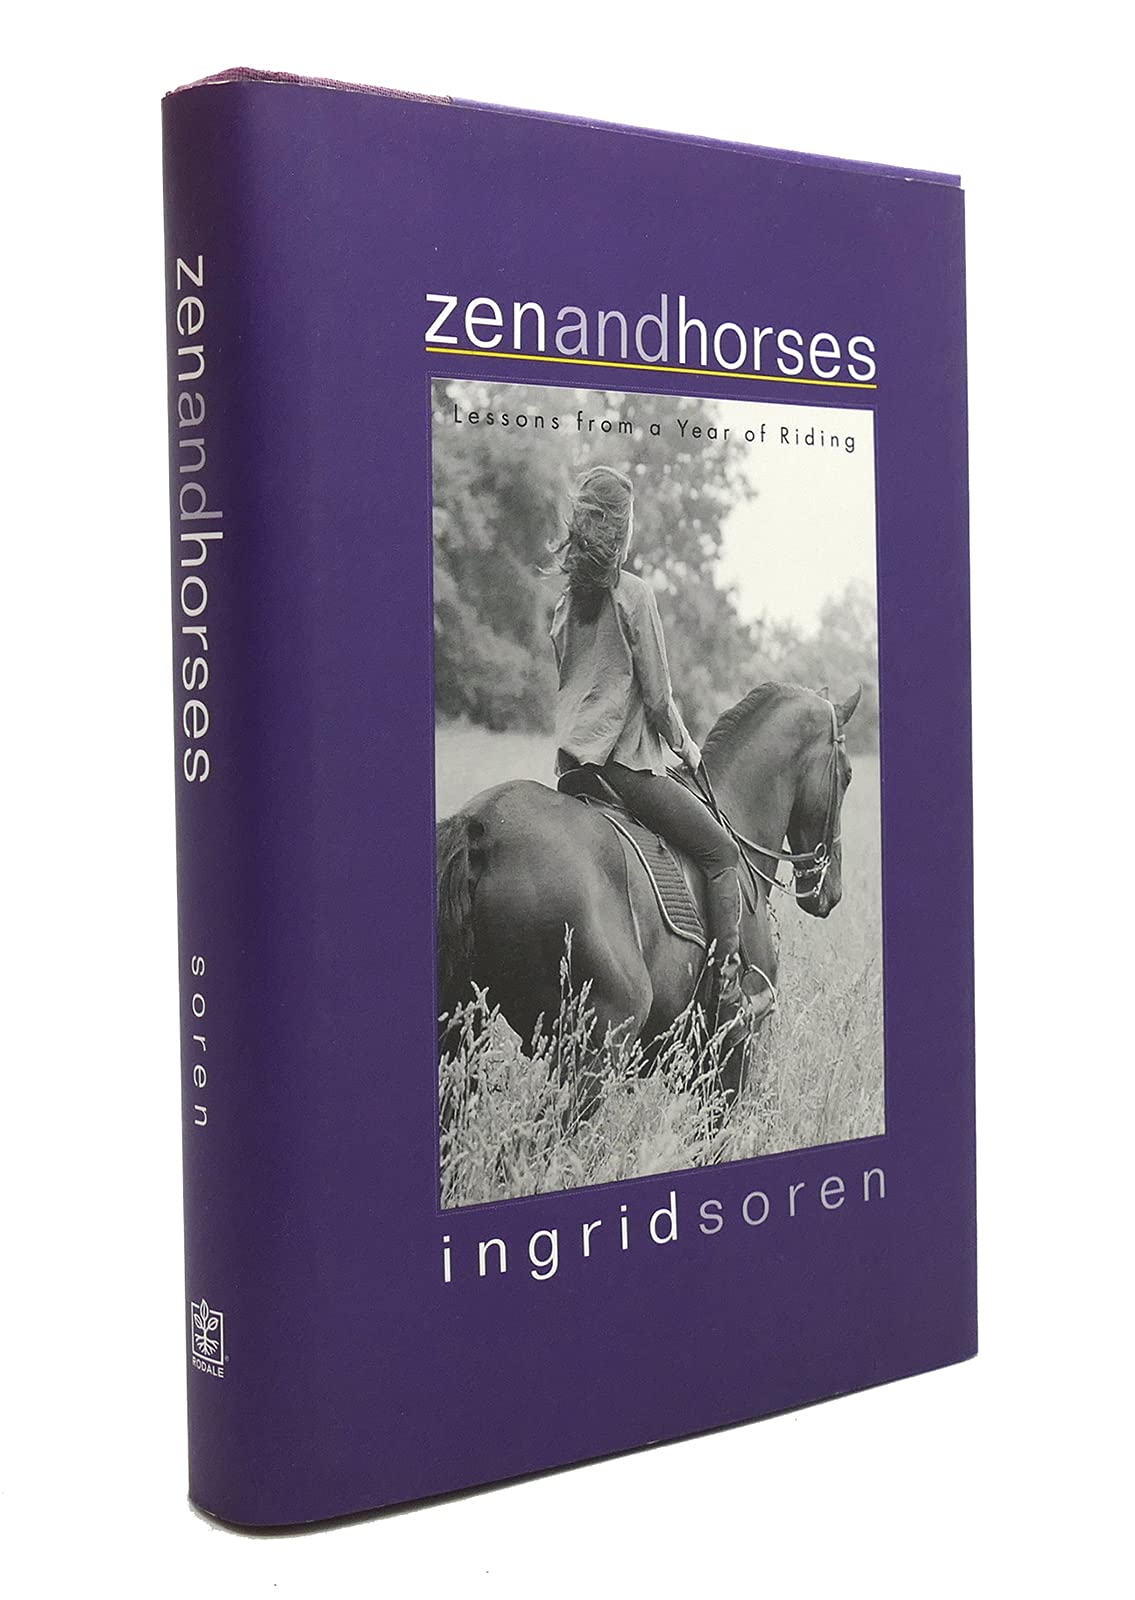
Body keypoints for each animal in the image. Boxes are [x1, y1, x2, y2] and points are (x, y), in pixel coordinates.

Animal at [437, 681, 860, 1112]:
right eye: (847, 775)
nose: (829, 892)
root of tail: (483, 828)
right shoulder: (732, 1057)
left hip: (463, 1033)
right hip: (598, 1046)